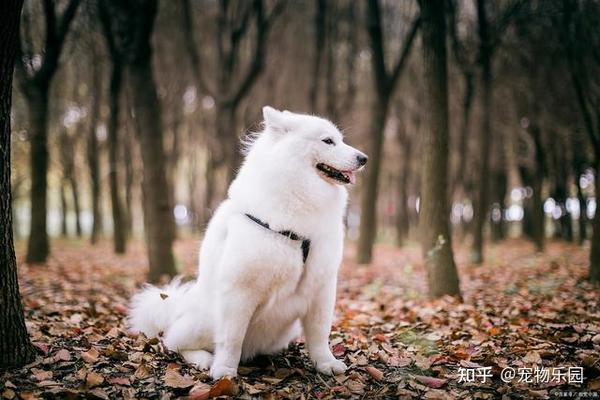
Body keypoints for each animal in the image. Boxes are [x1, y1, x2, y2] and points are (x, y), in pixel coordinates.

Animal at [129, 105, 368, 378]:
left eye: (341, 139)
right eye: (328, 141)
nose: (364, 158)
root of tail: (177, 306)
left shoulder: (322, 288)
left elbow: (319, 333)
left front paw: (326, 363)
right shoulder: (239, 291)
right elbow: (231, 338)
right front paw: (224, 372)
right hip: (205, 319)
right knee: (173, 342)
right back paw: (203, 359)